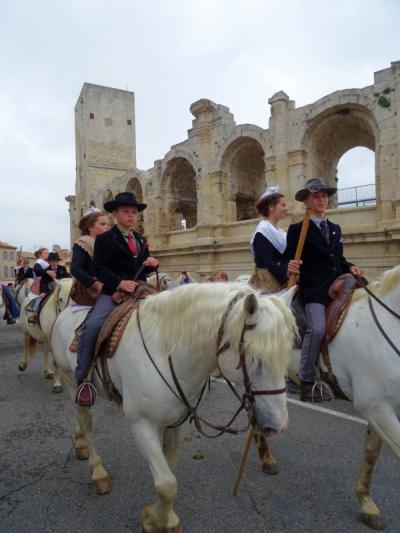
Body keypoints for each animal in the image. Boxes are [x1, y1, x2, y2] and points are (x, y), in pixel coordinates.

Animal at [51, 280, 296, 528]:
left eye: (287, 356)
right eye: (255, 358)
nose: (279, 425)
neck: (165, 353)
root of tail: (67, 309)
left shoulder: (178, 423)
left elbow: (170, 471)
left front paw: (165, 518)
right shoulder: (142, 425)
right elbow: (166, 485)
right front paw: (154, 521)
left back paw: (79, 443)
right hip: (71, 381)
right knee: (86, 423)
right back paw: (98, 472)